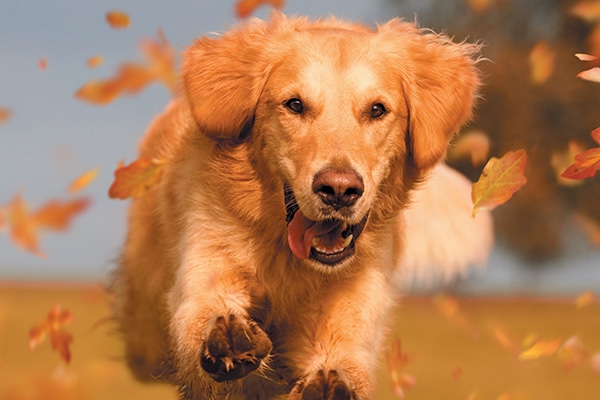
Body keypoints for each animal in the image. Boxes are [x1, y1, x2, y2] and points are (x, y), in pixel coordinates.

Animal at [112, 12, 492, 400]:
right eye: (295, 105)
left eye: (377, 110)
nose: (339, 190)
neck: (290, 265)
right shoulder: (202, 268)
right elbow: (203, 313)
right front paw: (228, 338)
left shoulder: (351, 311)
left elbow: (343, 359)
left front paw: (330, 383)